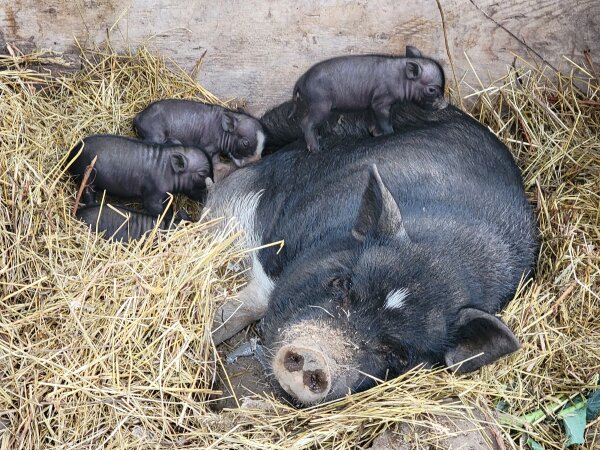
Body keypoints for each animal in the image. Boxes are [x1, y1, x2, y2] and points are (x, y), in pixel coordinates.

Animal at [68, 135, 211, 215]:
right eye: (202, 174)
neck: (168, 171)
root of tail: (71, 154)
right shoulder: (152, 193)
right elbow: (154, 208)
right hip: (88, 178)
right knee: (87, 193)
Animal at [133, 99, 266, 167]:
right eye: (245, 143)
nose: (256, 161)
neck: (220, 129)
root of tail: (138, 116)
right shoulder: (207, 147)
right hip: (155, 135)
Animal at [288, 46, 447, 151]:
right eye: (431, 89)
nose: (444, 105)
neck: (401, 79)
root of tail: (300, 80)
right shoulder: (381, 101)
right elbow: (385, 120)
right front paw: (390, 133)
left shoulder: (373, 102)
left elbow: (374, 119)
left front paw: (376, 133)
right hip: (320, 104)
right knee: (305, 123)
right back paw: (316, 149)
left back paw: (319, 139)